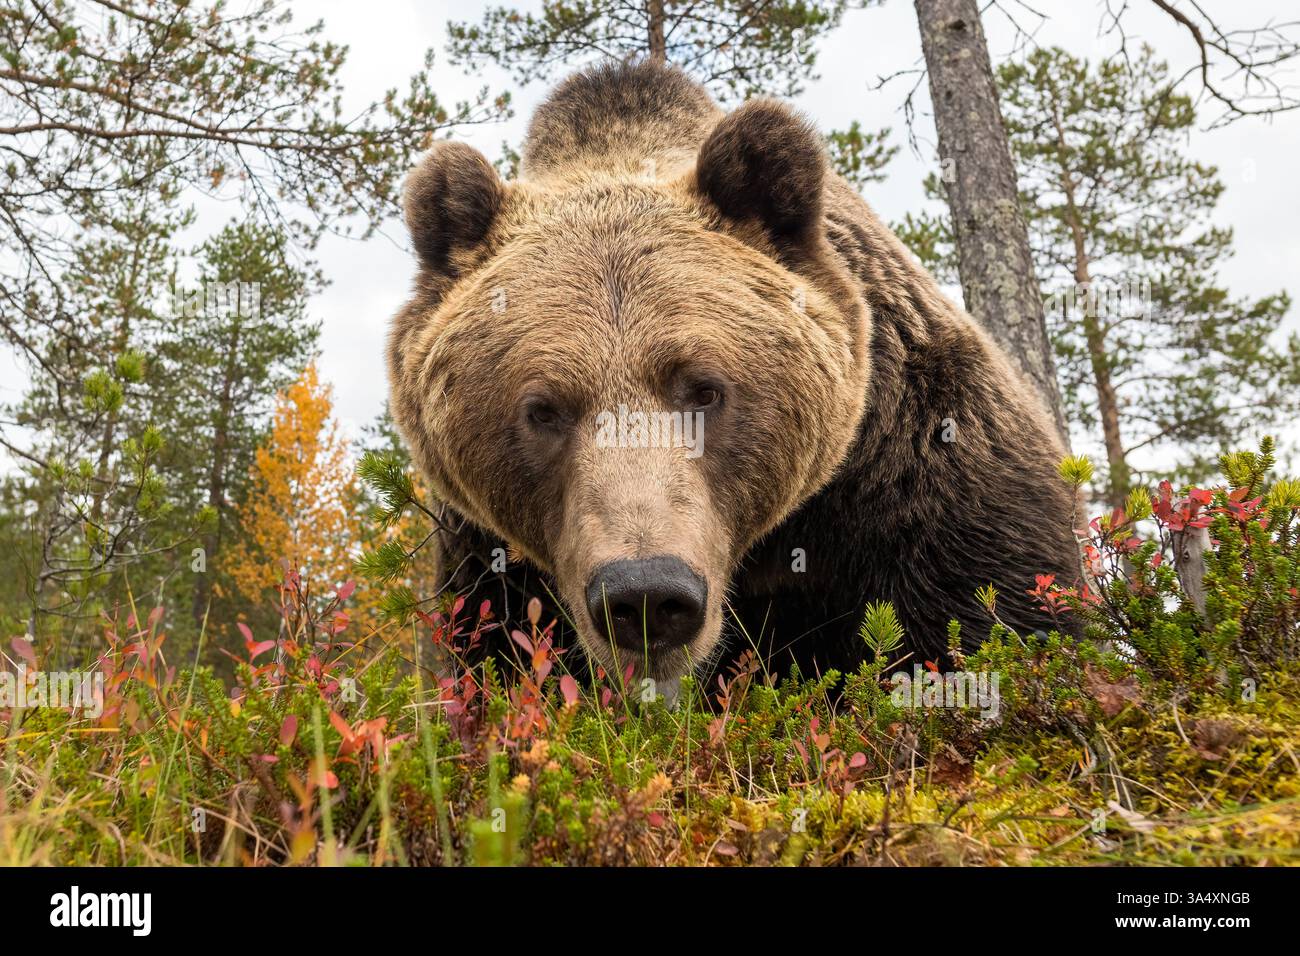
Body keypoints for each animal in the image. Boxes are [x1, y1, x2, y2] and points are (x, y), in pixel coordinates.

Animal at [386, 60, 1080, 692]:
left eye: (704, 389)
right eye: (543, 409)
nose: (646, 596)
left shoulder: (912, 457)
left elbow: (992, 611)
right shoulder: (487, 559)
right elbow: (499, 660)